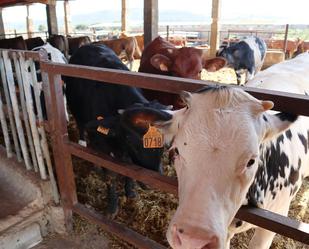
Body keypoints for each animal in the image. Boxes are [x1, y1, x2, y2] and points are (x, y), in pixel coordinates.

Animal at [65, 44, 171, 216]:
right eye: (130, 140)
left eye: (164, 142)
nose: (150, 183)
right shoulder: (103, 145)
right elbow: (110, 175)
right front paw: (112, 205)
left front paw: (131, 193)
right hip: (77, 113)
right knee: (82, 129)